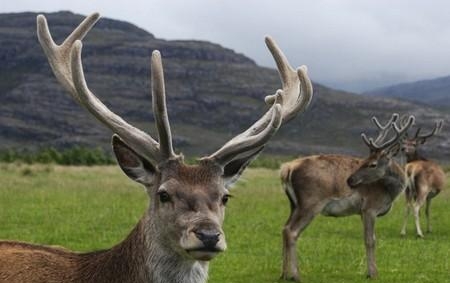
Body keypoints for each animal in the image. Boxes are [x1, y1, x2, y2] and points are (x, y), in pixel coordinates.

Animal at [282, 114, 414, 280]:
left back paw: (284, 274)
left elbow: (369, 238)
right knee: (292, 231)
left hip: (294, 204)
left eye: (372, 164)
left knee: (284, 228)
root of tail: (287, 169)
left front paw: (370, 272)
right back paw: (295, 275)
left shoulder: (362, 212)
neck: (389, 192)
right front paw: (373, 273)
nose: (350, 180)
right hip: (310, 203)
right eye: (364, 161)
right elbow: (370, 240)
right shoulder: (370, 208)